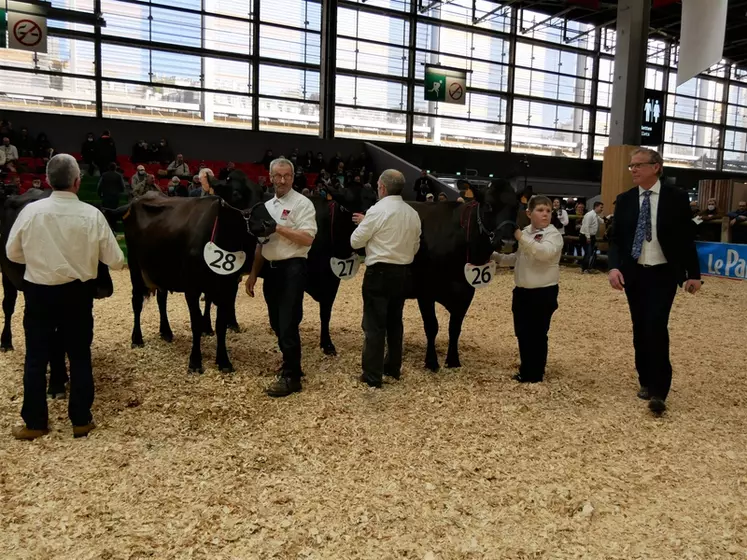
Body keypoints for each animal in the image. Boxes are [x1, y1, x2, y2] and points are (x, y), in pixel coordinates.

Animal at [123, 171, 272, 372]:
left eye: (261, 192)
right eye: (236, 193)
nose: (270, 223)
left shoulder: (228, 285)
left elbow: (221, 324)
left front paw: (223, 361)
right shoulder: (192, 288)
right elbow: (196, 322)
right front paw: (195, 361)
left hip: (162, 270)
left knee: (162, 300)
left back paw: (166, 332)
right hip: (135, 266)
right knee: (137, 302)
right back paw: (137, 338)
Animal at [410, 180, 520, 372]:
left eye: (516, 207)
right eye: (488, 205)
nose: (507, 242)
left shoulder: (466, 291)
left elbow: (455, 327)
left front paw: (453, 360)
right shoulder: (425, 290)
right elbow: (431, 326)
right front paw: (431, 362)